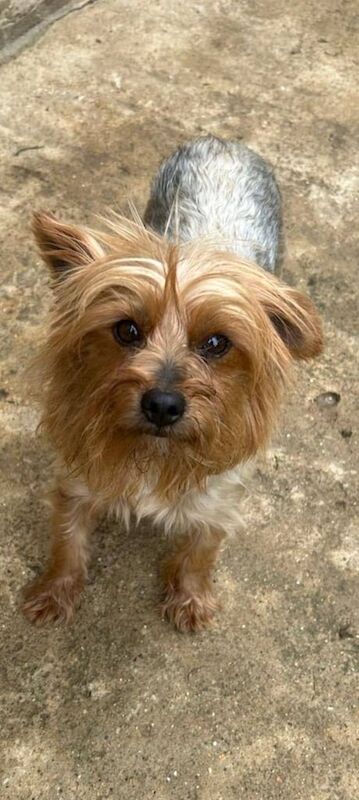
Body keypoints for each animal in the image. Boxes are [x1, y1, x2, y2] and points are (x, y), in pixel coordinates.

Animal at [21, 136, 322, 632]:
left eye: (217, 343)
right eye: (126, 330)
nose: (162, 404)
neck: (156, 452)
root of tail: (224, 143)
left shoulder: (218, 494)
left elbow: (201, 550)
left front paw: (191, 598)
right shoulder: (78, 479)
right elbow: (67, 538)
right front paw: (54, 593)